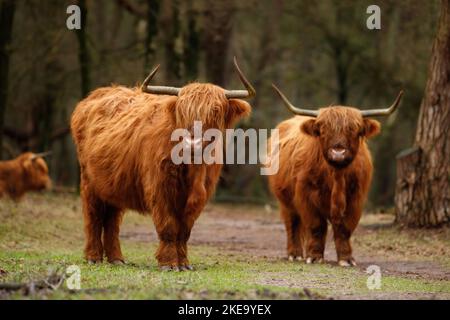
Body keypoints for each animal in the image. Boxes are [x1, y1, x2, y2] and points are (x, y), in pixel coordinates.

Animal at [70, 57, 253, 270]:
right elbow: (168, 226)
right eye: (182, 112)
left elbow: (184, 230)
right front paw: (169, 263)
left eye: (215, 112)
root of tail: (96, 95)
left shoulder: (199, 196)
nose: (193, 144)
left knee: (111, 221)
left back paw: (116, 258)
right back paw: (93, 257)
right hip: (89, 181)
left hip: (112, 185)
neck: (193, 169)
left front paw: (184, 263)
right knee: (93, 216)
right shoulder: (160, 189)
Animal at [268, 85, 402, 268]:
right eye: (323, 129)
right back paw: (295, 254)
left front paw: (346, 259)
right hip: (285, 200)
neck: (336, 177)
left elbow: (344, 229)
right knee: (292, 223)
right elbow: (316, 226)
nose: (338, 153)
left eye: (354, 129)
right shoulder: (306, 196)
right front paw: (314, 256)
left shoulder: (355, 199)